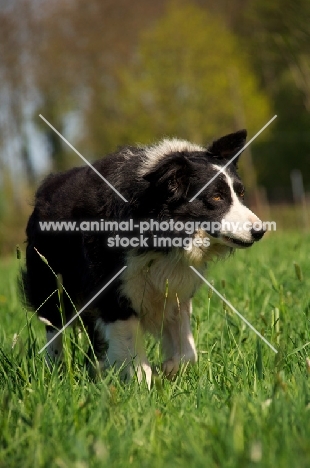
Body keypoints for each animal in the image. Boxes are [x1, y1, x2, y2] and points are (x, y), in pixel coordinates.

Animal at [22, 130, 264, 386]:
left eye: (241, 193)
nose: (260, 231)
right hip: (49, 277)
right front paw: (141, 386)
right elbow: (131, 347)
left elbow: (187, 349)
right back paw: (55, 371)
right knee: (53, 322)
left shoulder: (175, 286)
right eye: (216, 197)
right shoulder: (113, 288)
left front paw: (170, 369)